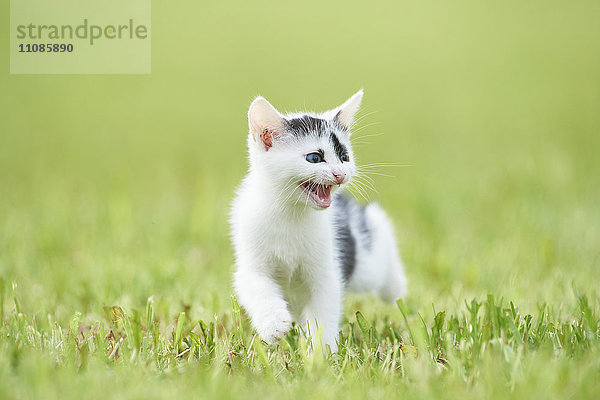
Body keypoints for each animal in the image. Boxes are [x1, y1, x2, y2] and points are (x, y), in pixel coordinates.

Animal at [231, 90, 408, 350]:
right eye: (314, 158)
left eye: (344, 156)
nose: (340, 174)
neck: (291, 213)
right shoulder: (251, 262)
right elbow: (257, 287)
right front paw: (274, 325)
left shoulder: (327, 272)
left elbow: (324, 310)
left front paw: (322, 351)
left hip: (368, 264)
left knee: (379, 230)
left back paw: (396, 290)